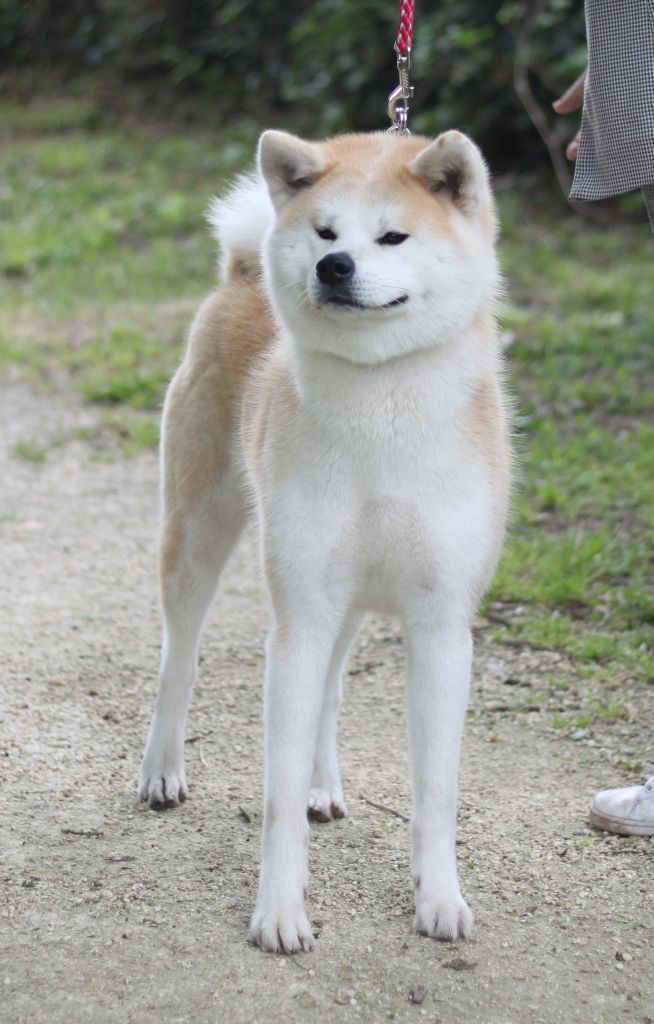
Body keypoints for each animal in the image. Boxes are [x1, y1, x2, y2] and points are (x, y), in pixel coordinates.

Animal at [138, 128, 513, 950]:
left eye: (393, 236)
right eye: (325, 232)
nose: (333, 266)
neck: (380, 403)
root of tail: (241, 274)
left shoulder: (440, 627)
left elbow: (436, 791)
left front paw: (439, 899)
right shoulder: (300, 618)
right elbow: (276, 803)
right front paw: (280, 912)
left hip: (343, 602)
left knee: (331, 695)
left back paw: (323, 783)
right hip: (199, 541)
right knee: (178, 663)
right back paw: (161, 769)